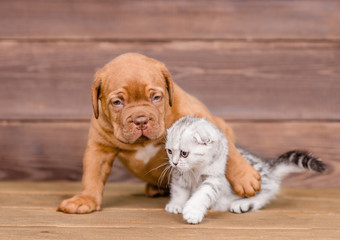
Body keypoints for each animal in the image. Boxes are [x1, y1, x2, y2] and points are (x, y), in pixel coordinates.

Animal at [58, 53, 260, 214]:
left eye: (156, 97)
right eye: (117, 102)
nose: (141, 120)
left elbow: (230, 153)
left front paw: (245, 177)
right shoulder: (99, 147)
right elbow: (92, 175)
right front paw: (86, 199)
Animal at [165, 117, 326, 224]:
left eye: (184, 153)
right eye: (169, 151)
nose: (174, 163)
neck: (194, 169)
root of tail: (268, 166)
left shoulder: (214, 178)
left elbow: (202, 195)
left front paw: (192, 212)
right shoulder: (179, 176)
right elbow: (179, 190)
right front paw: (176, 204)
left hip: (260, 184)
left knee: (266, 193)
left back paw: (243, 204)